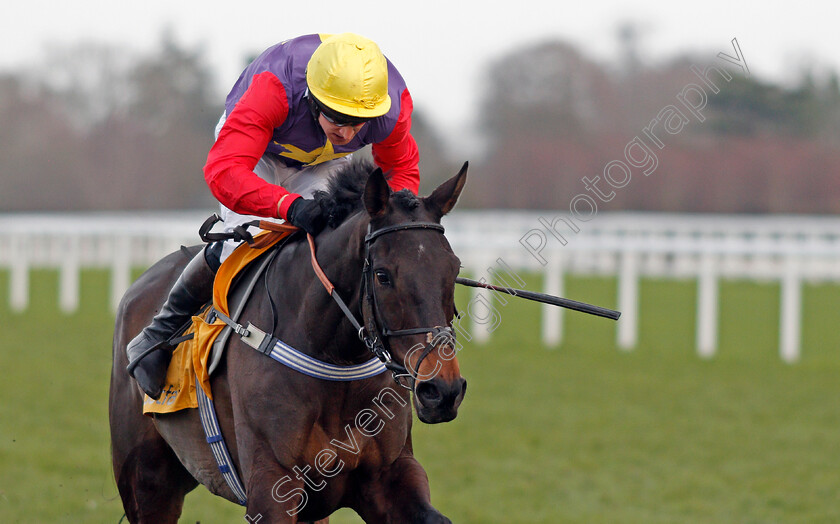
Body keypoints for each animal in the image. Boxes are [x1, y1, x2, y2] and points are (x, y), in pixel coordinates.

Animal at [108, 162, 470, 520]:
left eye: (454, 270)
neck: (335, 359)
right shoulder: (273, 484)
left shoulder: (389, 474)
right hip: (148, 481)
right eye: (383, 275)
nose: (442, 390)